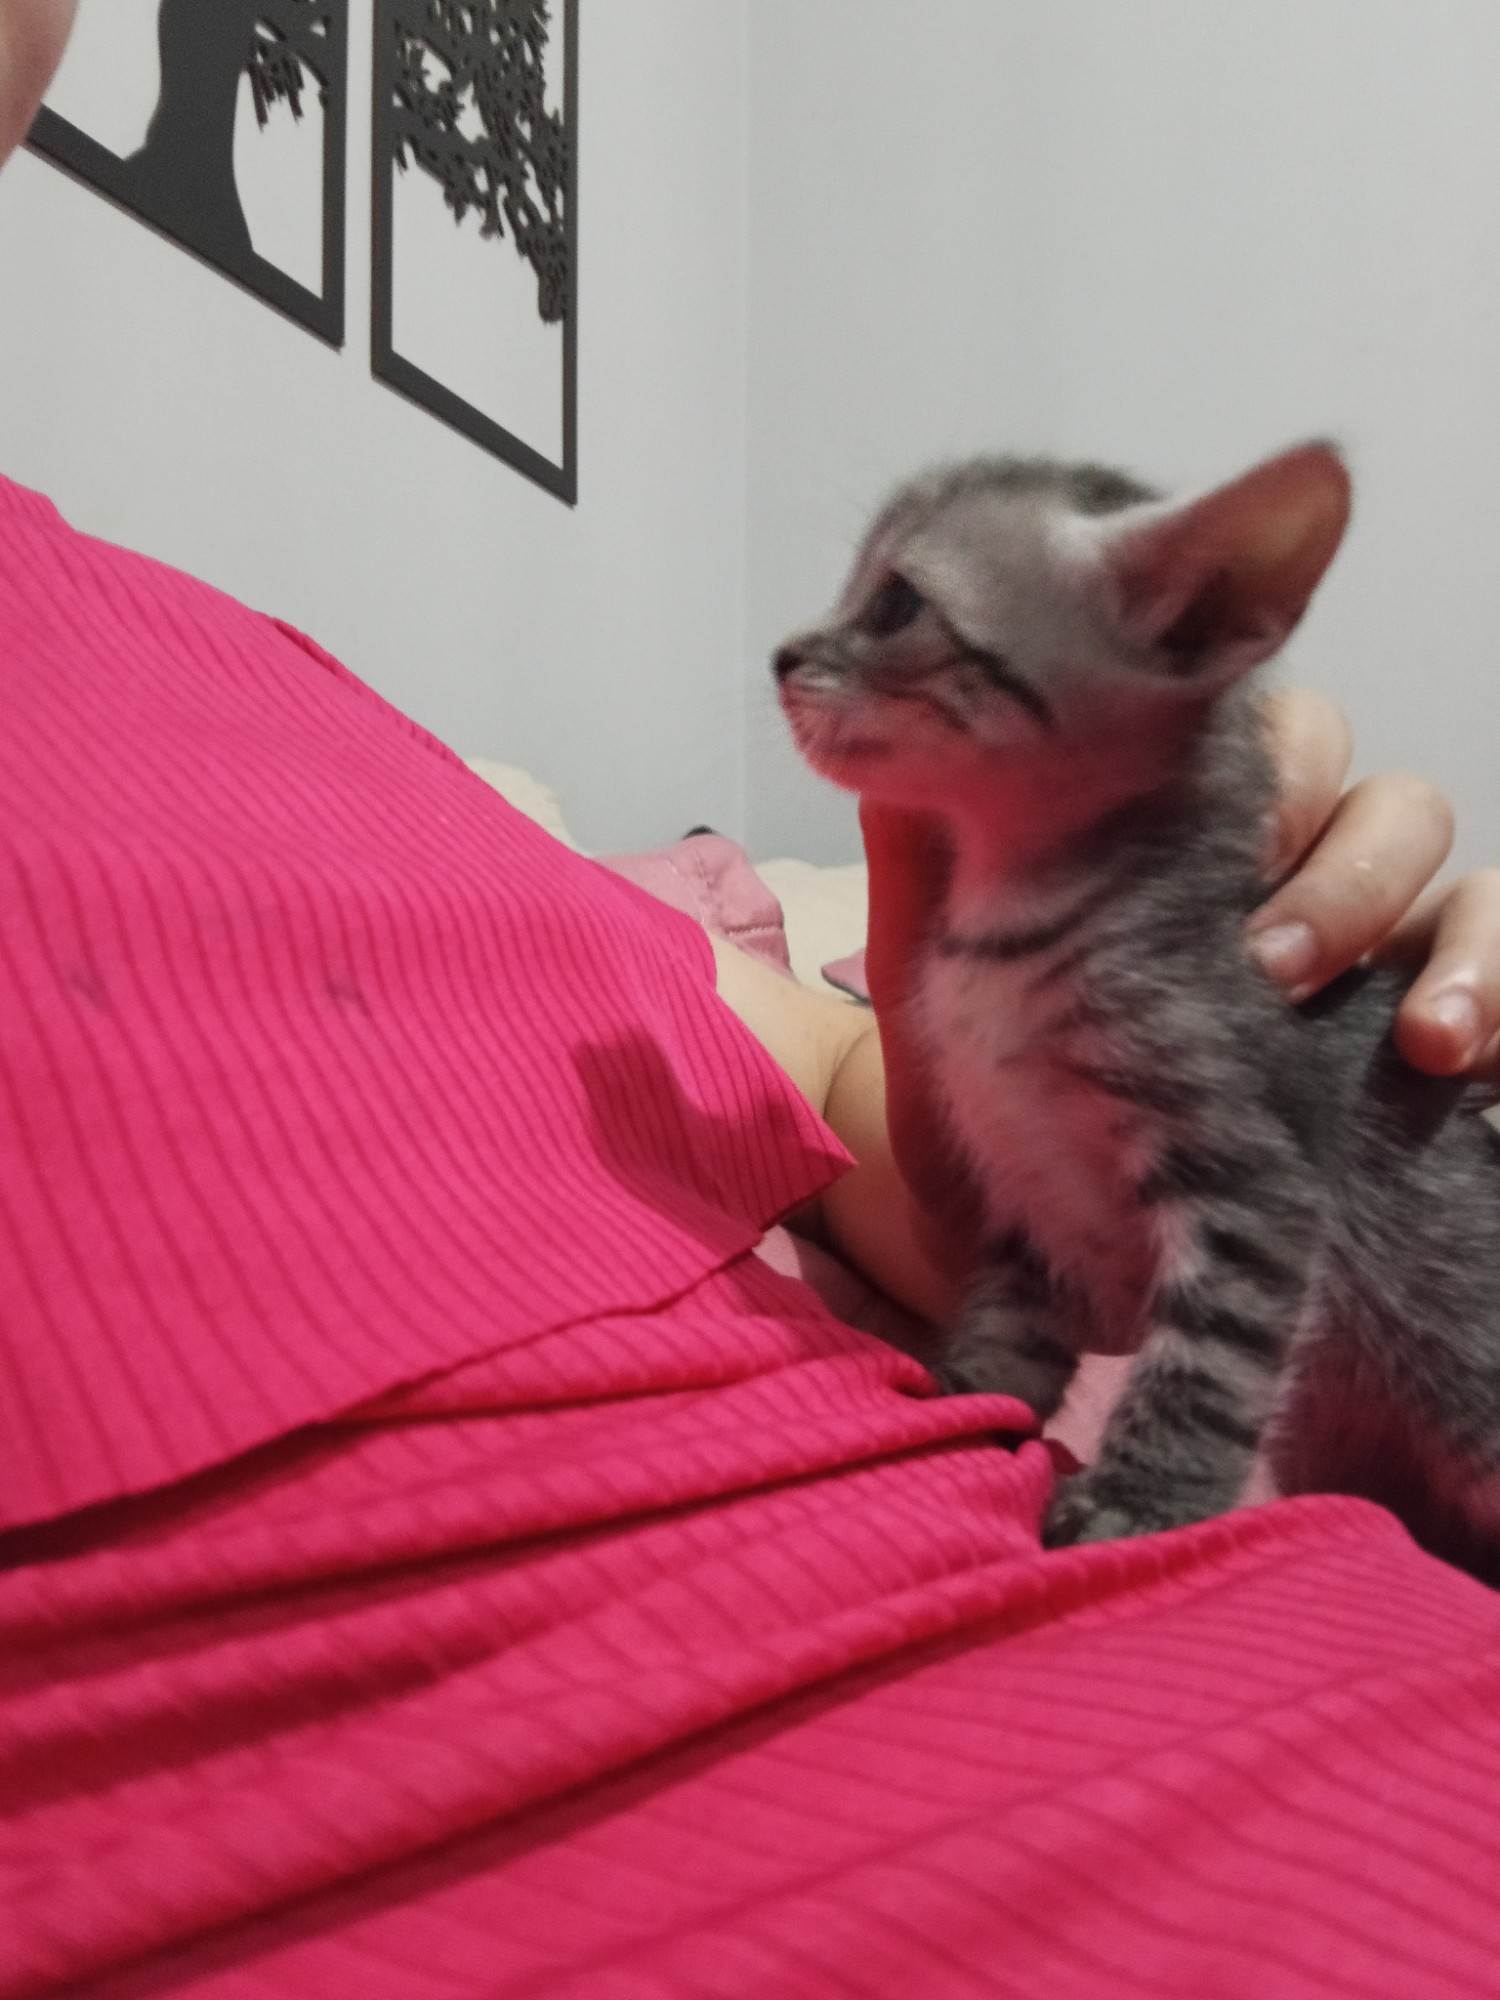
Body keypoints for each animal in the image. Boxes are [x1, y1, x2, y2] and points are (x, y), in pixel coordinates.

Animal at [774, 440, 1500, 1578]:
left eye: (894, 604)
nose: (781, 655)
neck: (1005, 932)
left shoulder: (1253, 1180)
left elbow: (1209, 1362)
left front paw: (1142, 1497)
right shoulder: (1027, 1195)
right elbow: (1010, 1326)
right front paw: (968, 1393)